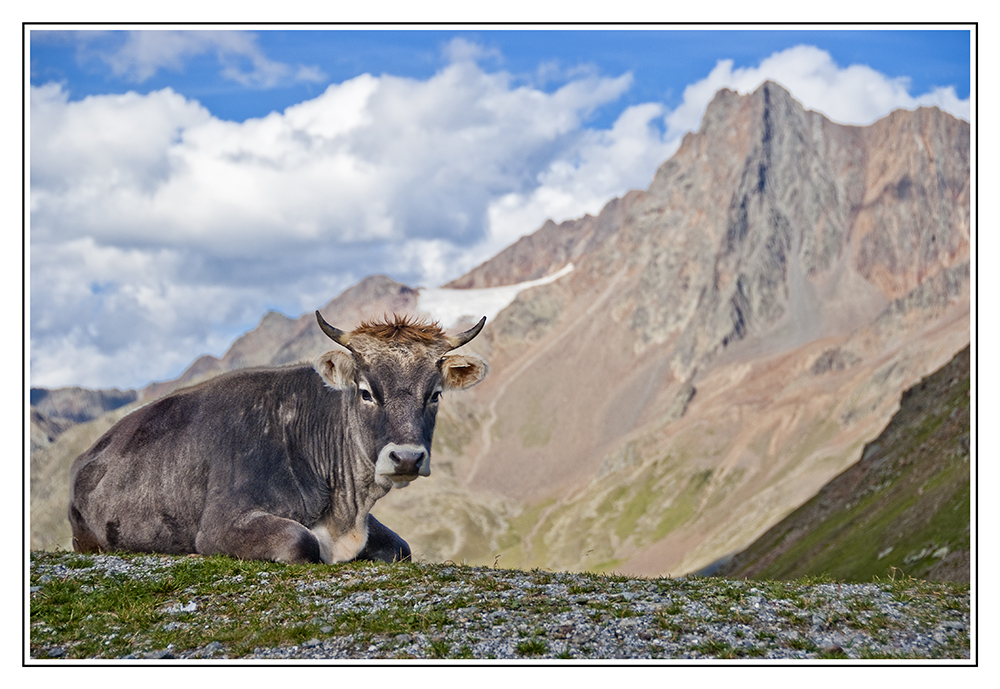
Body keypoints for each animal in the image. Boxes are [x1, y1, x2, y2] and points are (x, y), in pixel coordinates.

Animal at [68, 312, 490, 564]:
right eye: (366, 392)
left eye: (435, 394)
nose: (406, 458)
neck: (344, 515)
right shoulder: (220, 525)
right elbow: (300, 542)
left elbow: (402, 548)